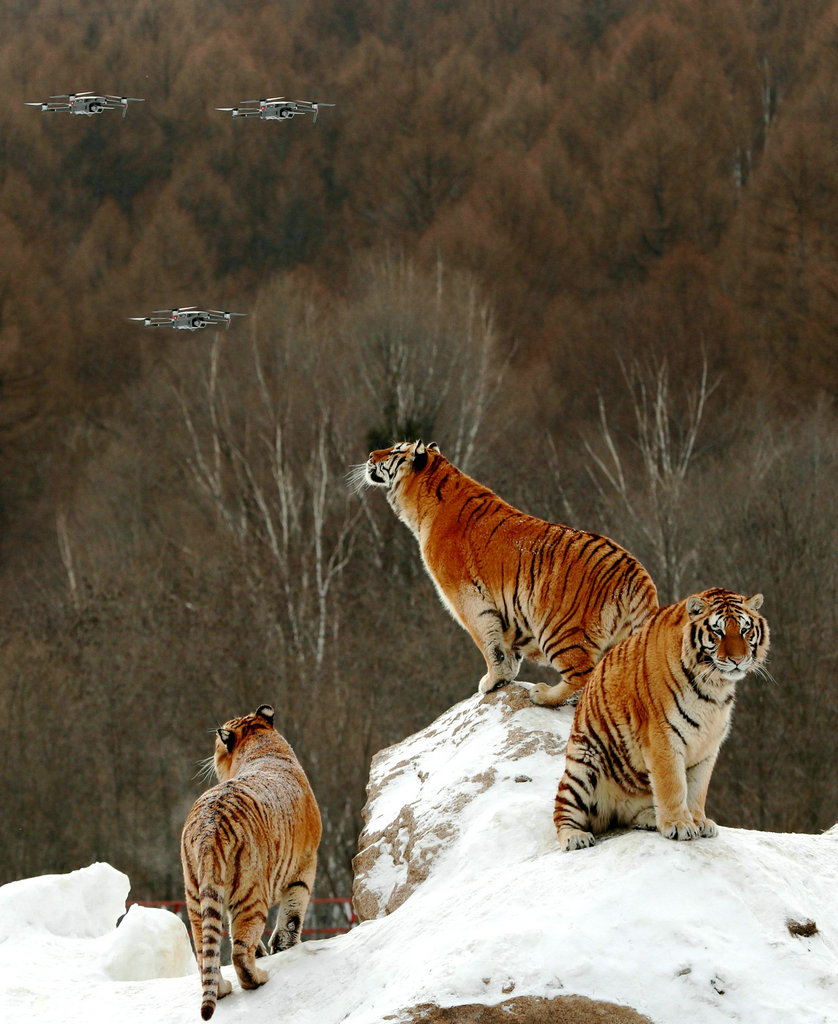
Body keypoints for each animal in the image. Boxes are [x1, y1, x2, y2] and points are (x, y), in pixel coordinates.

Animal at [181, 700, 321, 1019]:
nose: (212, 754)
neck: (262, 744)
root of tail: (209, 826)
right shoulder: (305, 867)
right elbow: (292, 915)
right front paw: (284, 948)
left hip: (195, 896)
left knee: (205, 951)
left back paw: (221, 989)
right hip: (251, 894)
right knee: (239, 952)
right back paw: (258, 978)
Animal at [356, 436, 655, 708]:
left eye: (394, 450)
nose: (370, 455)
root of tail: (637, 573)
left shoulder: (467, 598)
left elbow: (490, 643)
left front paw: (493, 680)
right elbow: (507, 646)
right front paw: (505, 676)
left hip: (560, 629)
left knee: (583, 676)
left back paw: (543, 695)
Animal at [553, 589, 766, 851]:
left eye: (745, 630)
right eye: (718, 632)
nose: (738, 659)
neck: (713, 688)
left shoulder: (707, 745)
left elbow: (697, 788)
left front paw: (698, 821)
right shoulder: (663, 737)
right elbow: (672, 785)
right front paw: (680, 825)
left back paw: (651, 819)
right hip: (584, 764)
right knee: (562, 810)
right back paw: (575, 837)